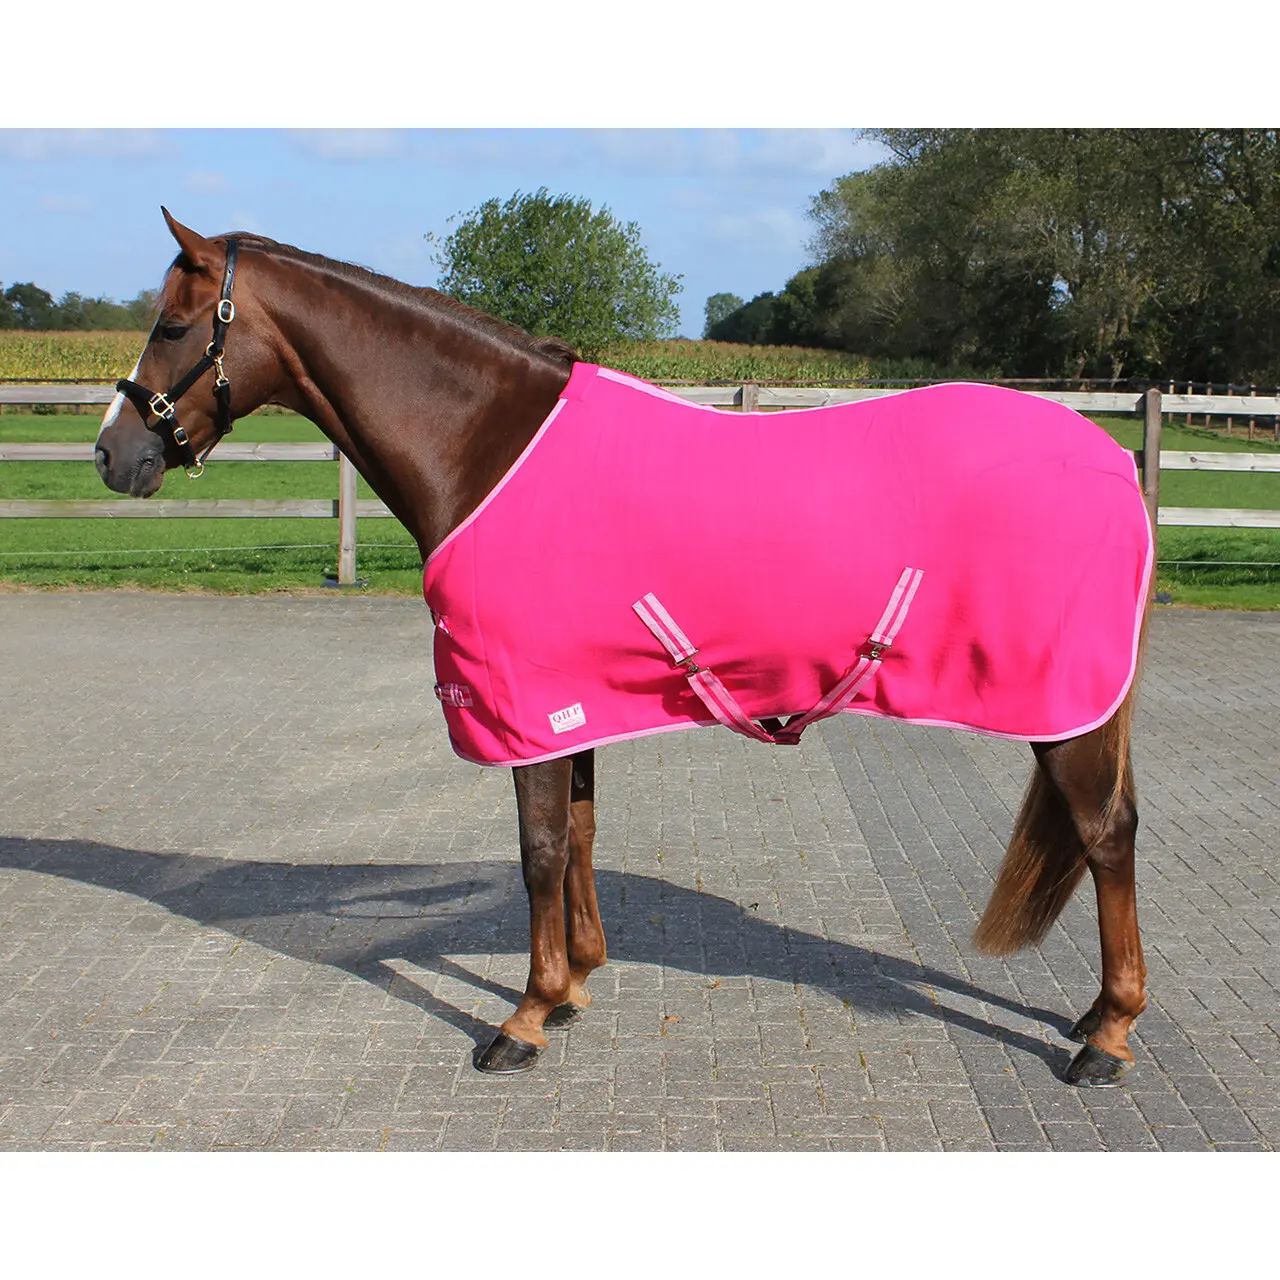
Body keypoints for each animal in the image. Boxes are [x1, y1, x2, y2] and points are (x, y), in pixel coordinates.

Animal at [93, 209, 1152, 1086]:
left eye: (173, 326)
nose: (112, 455)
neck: (487, 444)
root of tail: (1112, 459)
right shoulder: (572, 705)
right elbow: (581, 836)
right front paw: (571, 989)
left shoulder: (520, 703)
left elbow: (537, 851)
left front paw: (521, 1019)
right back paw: (1093, 1018)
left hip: (1063, 706)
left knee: (1106, 836)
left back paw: (1107, 1037)